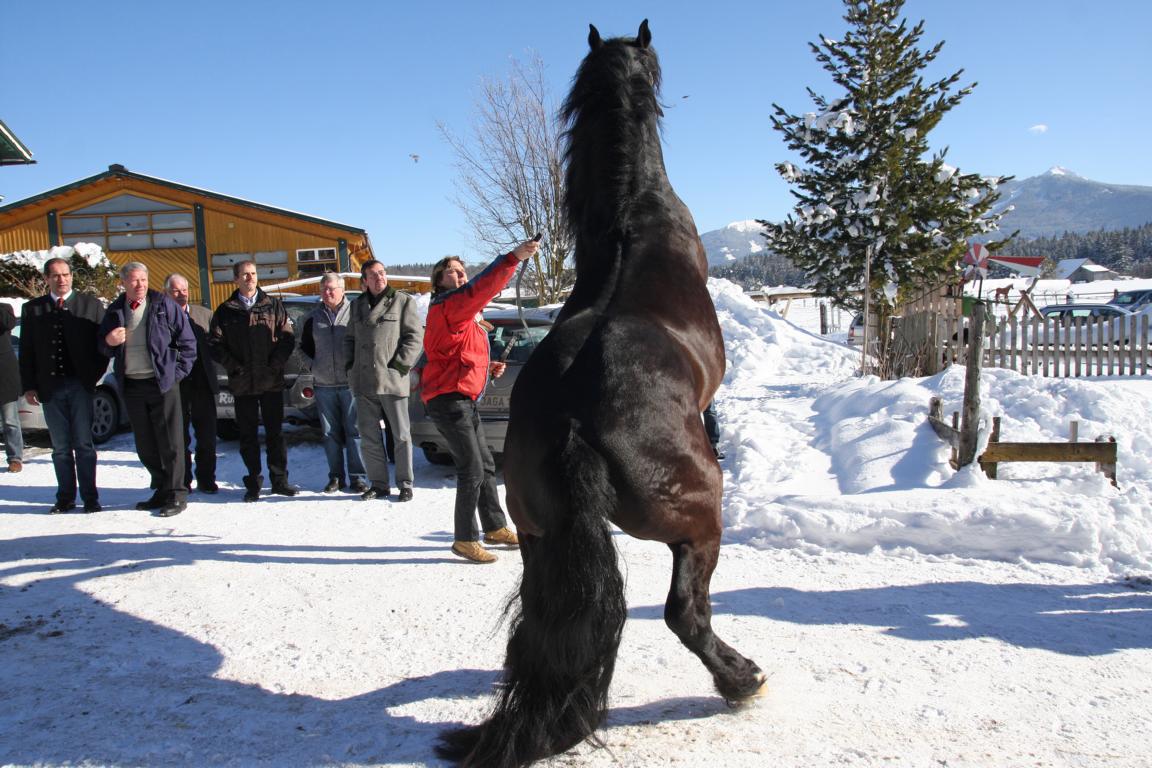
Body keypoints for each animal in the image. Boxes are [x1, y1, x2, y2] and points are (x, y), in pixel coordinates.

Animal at [435, 21, 760, 764]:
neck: (632, 223)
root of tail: (574, 424)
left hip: (539, 535)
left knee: (542, 631)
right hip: (697, 523)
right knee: (683, 612)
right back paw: (742, 680)